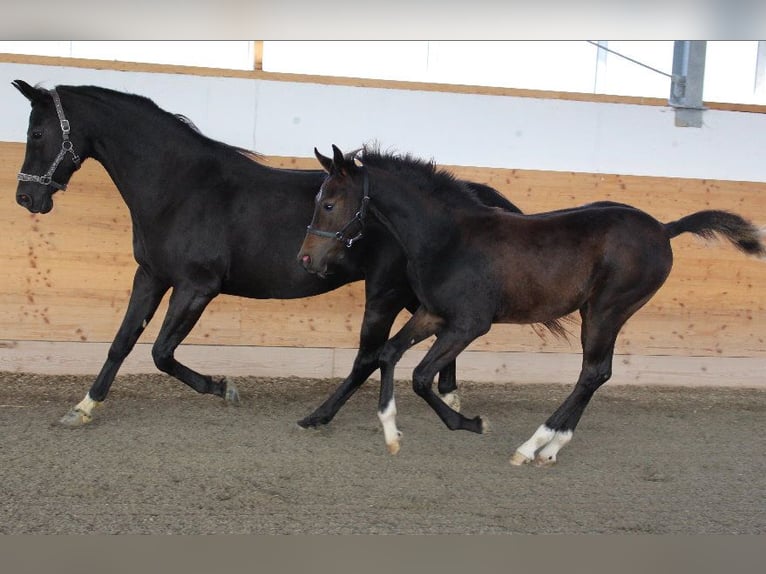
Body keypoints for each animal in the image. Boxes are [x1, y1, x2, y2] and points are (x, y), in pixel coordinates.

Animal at [12, 80, 522, 428]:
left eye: (37, 133)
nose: (26, 198)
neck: (183, 187)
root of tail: (461, 198)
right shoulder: (151, 276)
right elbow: (122, 343)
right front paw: (83, 407)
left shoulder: (197, 286)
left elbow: (160, 352)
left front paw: (222, 387)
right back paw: (449, 400)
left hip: (385, 292)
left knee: (373, 354)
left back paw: (328, 415)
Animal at [298, 144, 765, 464]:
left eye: (329, 203)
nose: (306, 259)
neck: (447, 237)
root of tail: (665, 229)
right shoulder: (433, 314)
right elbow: (389, 354)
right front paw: (391, 432)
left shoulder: (469, 324)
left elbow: (422, 376)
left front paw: (470, 423)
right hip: (596, 312)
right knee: (598, 373)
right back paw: (551, 447)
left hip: (607, 310)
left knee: (593, 372)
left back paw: (533, 444)